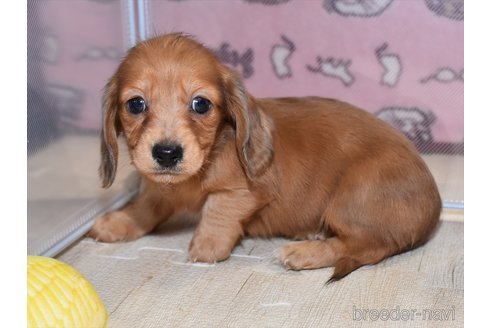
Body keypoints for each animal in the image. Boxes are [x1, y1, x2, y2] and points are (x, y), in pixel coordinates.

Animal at [88, 34, 442, 284]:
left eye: (201, 104)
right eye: (136, 104)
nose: (166, 153)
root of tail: (434, 210)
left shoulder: (244, 192)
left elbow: (217, 210)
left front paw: (206, 247)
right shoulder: (158, 189)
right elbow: (146, 207)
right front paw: (121, 222)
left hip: (350, 201)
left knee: (364, 248)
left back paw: (303, 252)